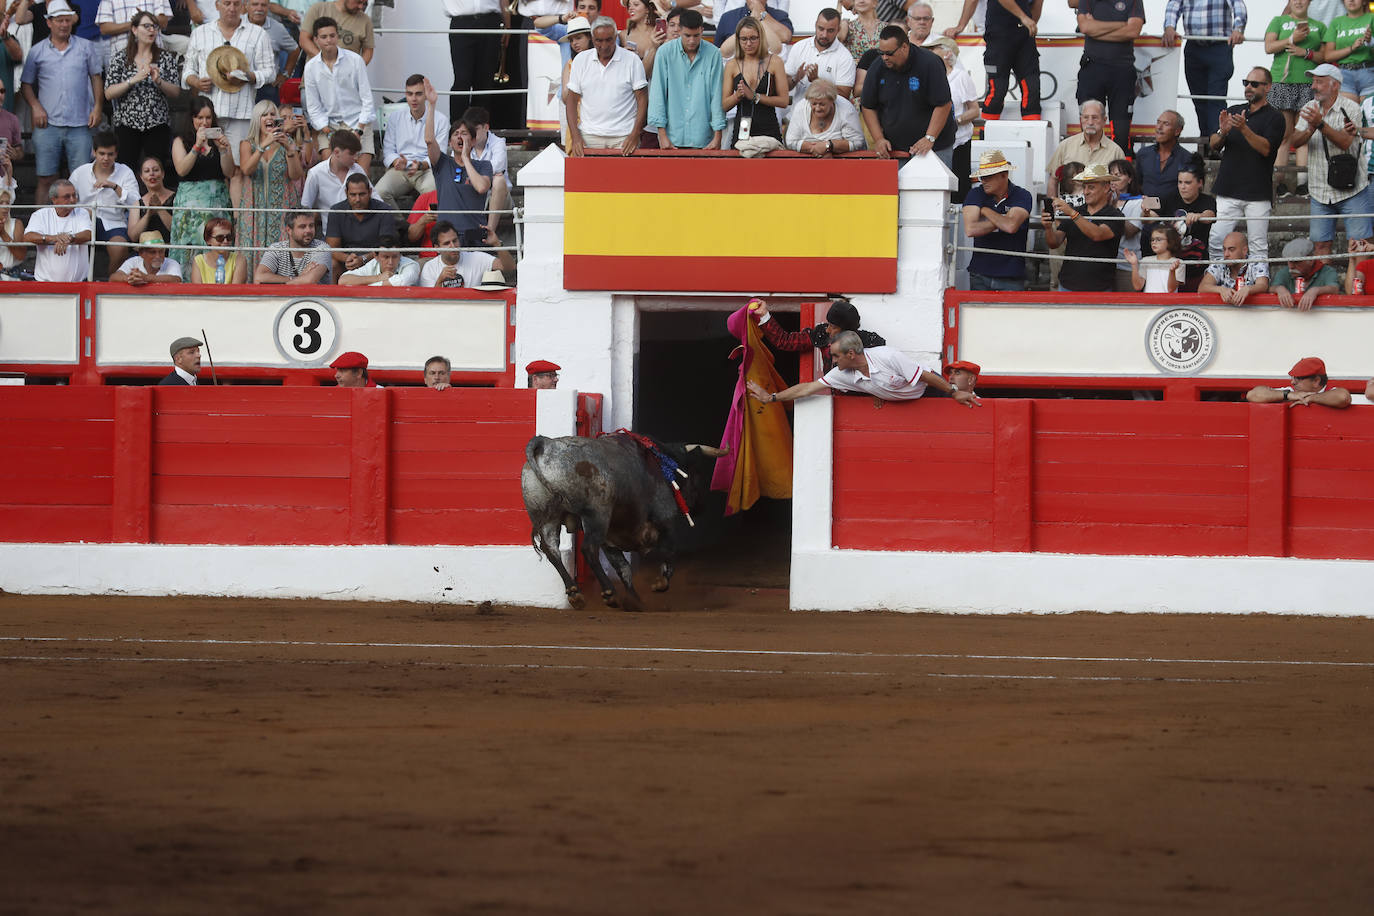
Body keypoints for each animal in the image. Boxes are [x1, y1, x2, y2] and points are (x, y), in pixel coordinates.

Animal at [519, 433, 730, 612]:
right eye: (696, 473)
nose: (701, 506)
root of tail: (547, 444)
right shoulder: (666, 518)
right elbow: (670, 553)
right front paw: (660, 583)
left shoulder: (610, 540)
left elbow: (624, 569)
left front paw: (635, 602)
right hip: (597, 515)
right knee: (588, 549)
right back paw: (609, 593)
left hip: (547, 518)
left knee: (552, 551)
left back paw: (575, 594)